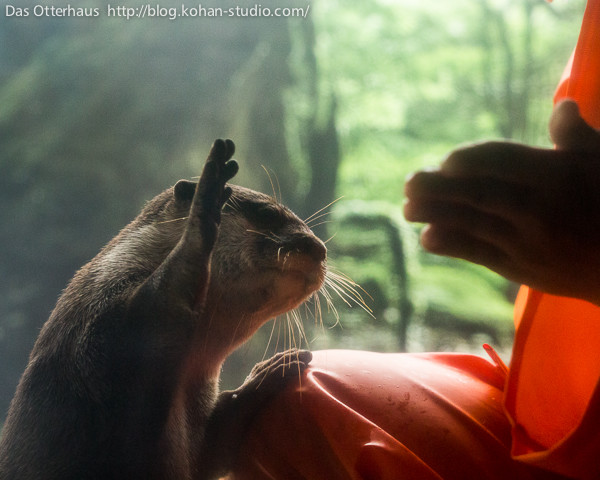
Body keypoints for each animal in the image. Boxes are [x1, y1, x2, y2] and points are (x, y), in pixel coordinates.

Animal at [0, 140, 326, 480]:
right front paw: (205, 204)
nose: (320, 249)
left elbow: (214, 447)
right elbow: (158, 301)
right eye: (267, 213)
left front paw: (272, 371)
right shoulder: (102, 323)